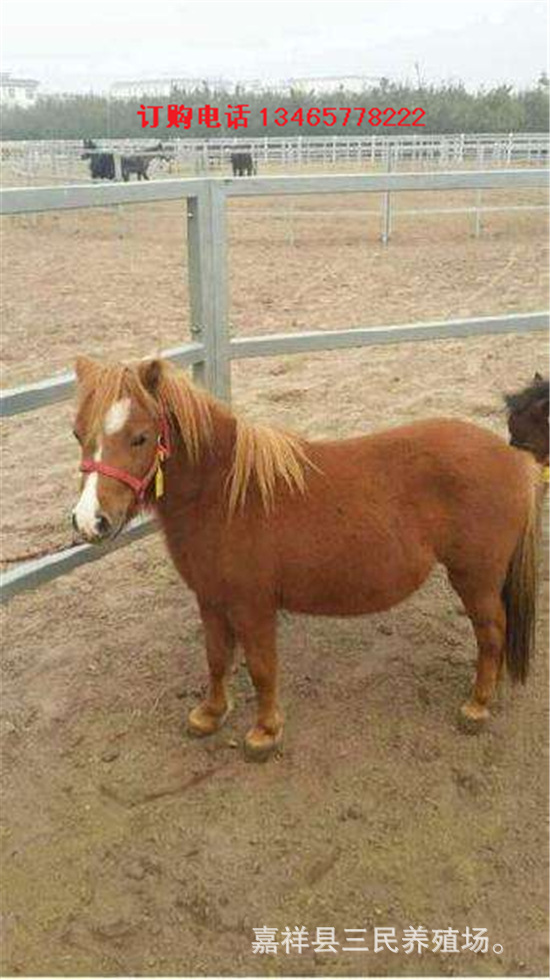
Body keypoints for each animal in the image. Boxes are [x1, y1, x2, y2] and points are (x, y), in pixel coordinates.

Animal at [71, 357, 544, 761]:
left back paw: (477, 706)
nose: (89, 521)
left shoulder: (253, 607)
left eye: (140, 437)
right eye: (78, 433)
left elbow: (262, 669)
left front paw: (264, 733)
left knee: (492, 633)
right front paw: (210, 714)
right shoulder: (211, 600)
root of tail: (515, 459)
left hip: (475, 578)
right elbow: (217, 659)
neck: (225, 495)